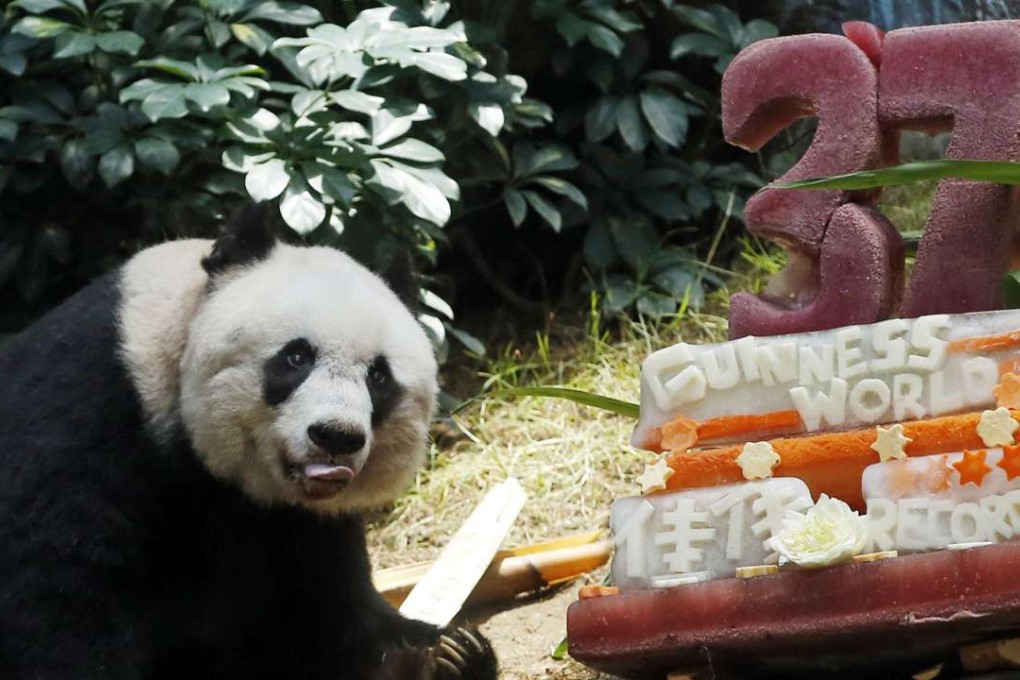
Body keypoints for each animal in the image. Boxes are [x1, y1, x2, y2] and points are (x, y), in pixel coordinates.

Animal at [0, 205, 498, 680]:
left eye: (378, 376)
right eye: (296, 357)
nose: (336, 436)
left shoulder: (301, 525)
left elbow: (325, 618)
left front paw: (444, 657)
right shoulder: (86, 410)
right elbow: (56, 588)